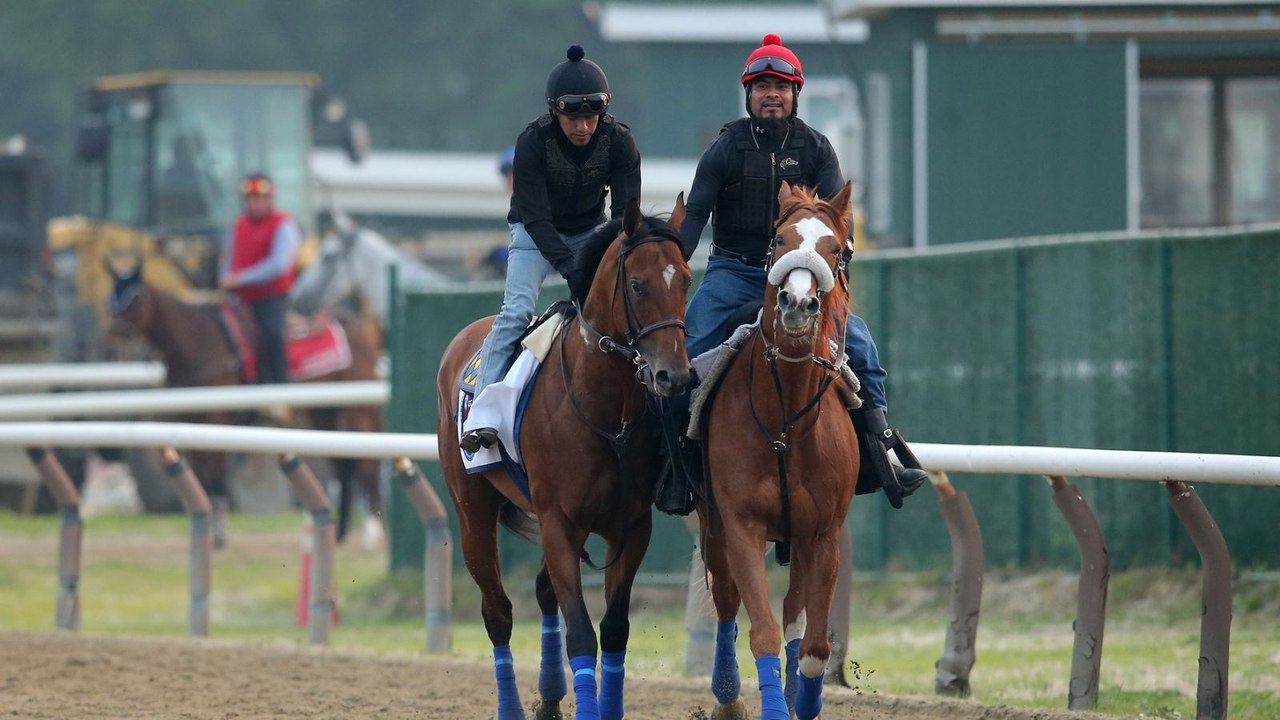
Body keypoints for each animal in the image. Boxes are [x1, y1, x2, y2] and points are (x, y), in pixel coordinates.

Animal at [105, 260, 385, 548]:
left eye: (136, 299)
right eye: (111, 299)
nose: (114, 341)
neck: (199, 342)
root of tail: (361, 327)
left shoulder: (217, 418)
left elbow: (215, 476)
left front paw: (218, 535)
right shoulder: (192, 421)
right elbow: (201, 476)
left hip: (359, 411)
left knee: (368, 466)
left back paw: (371, 532)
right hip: (323, 412)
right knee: (342, 463)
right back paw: (341, 532)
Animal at [436, 198, 692, 720]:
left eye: (686, 280)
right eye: (638, 284)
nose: (673, 376)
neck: (605, 410)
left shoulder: (632, 526)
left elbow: (614, 630)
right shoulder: (558, 522)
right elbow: (581, 635)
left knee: (542, 590)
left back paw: (550, 697)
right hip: (472, 510)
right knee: (498, 612)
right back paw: (512, 707)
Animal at [697, 181, 859, 720]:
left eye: (838, 249)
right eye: (780, 238)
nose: (797, 302)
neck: (786, 420)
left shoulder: (824, 533)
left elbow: (813, 646)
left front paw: (802, 700)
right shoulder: (740, 523)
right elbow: (762, 631)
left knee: (795, 615)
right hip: (713, 527)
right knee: (728, 603)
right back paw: (727, 694)